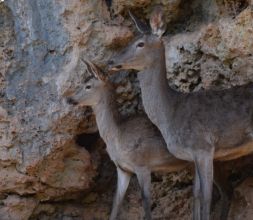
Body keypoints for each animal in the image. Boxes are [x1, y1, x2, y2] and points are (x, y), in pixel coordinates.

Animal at [65, 60, 229, 220]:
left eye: (88, 86)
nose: (69, 99)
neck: (117, 136)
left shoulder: (142, 164)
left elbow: (145, 202)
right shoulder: (123, 169)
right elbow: (116, 204)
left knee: (227, 189)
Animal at [107, 5, 253, 220]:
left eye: (140, 44)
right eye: (129, 40)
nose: (111, 61)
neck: (170, 113)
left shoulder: (203, 146)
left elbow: (206, 197)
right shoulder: (192, 155)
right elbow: (197, 195)